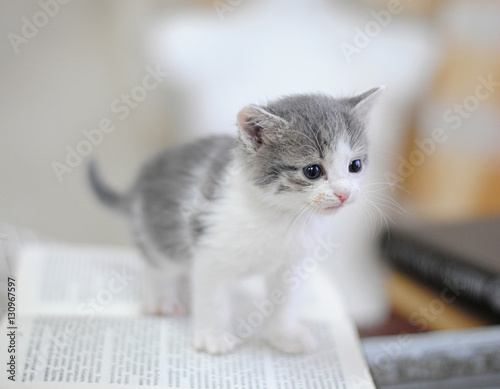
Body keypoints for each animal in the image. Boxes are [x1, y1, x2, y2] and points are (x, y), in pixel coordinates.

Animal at [89, 88, 382, 354]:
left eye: (355, 165)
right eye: (312, 171)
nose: (344, 193)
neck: (280, 216)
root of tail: (138, 183)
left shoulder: (292, 263)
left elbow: (285, 300)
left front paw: (283, 336)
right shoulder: (210, 250)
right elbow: (213, 299)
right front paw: (213, 337)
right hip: (158, 230)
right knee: (157, 264)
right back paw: (162, 299)